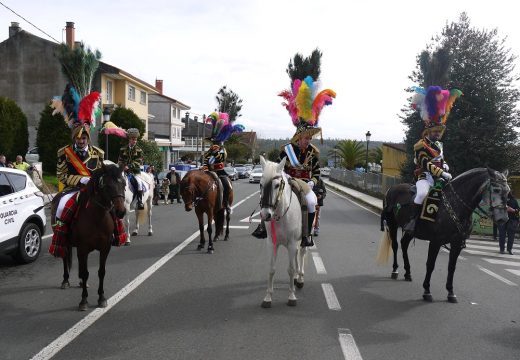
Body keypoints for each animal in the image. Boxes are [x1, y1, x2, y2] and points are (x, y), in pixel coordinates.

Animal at [52, 163, 126, 310]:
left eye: (124, 184)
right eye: (108, 186)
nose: (121, 212)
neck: (97, 217)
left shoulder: (105, 248)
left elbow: (101, 272)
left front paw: (101, 298)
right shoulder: (83, 248)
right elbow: (86, 272)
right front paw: (84, 300)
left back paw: (81, 282)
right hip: (64, 241)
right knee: (65, 258)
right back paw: (65, 280)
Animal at [258, 156, 306, 308]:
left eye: (277, 185)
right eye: (260, 184)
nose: (265, 214)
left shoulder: (291, 243)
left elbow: (290, 269)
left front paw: (291, 296)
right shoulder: (272, 244)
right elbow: (271, 269)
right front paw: (268, 297)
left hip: (303, 240)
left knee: (301, 254)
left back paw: (300, 278)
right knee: (296, 255)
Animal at [378, 167, 508, 302]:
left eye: (508, 191)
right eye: (497, 190)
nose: (503, 219)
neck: (455, 206)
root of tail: (392, 188)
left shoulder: (457, 244)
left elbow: (451, 267)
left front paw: (450, 292)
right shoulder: (435, 241)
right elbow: (430, 265)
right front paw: (427, 291)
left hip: (410, 231)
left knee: (404, 244)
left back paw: (408, 273)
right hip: (392, 224)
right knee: (395, 245)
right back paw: (395, 270)